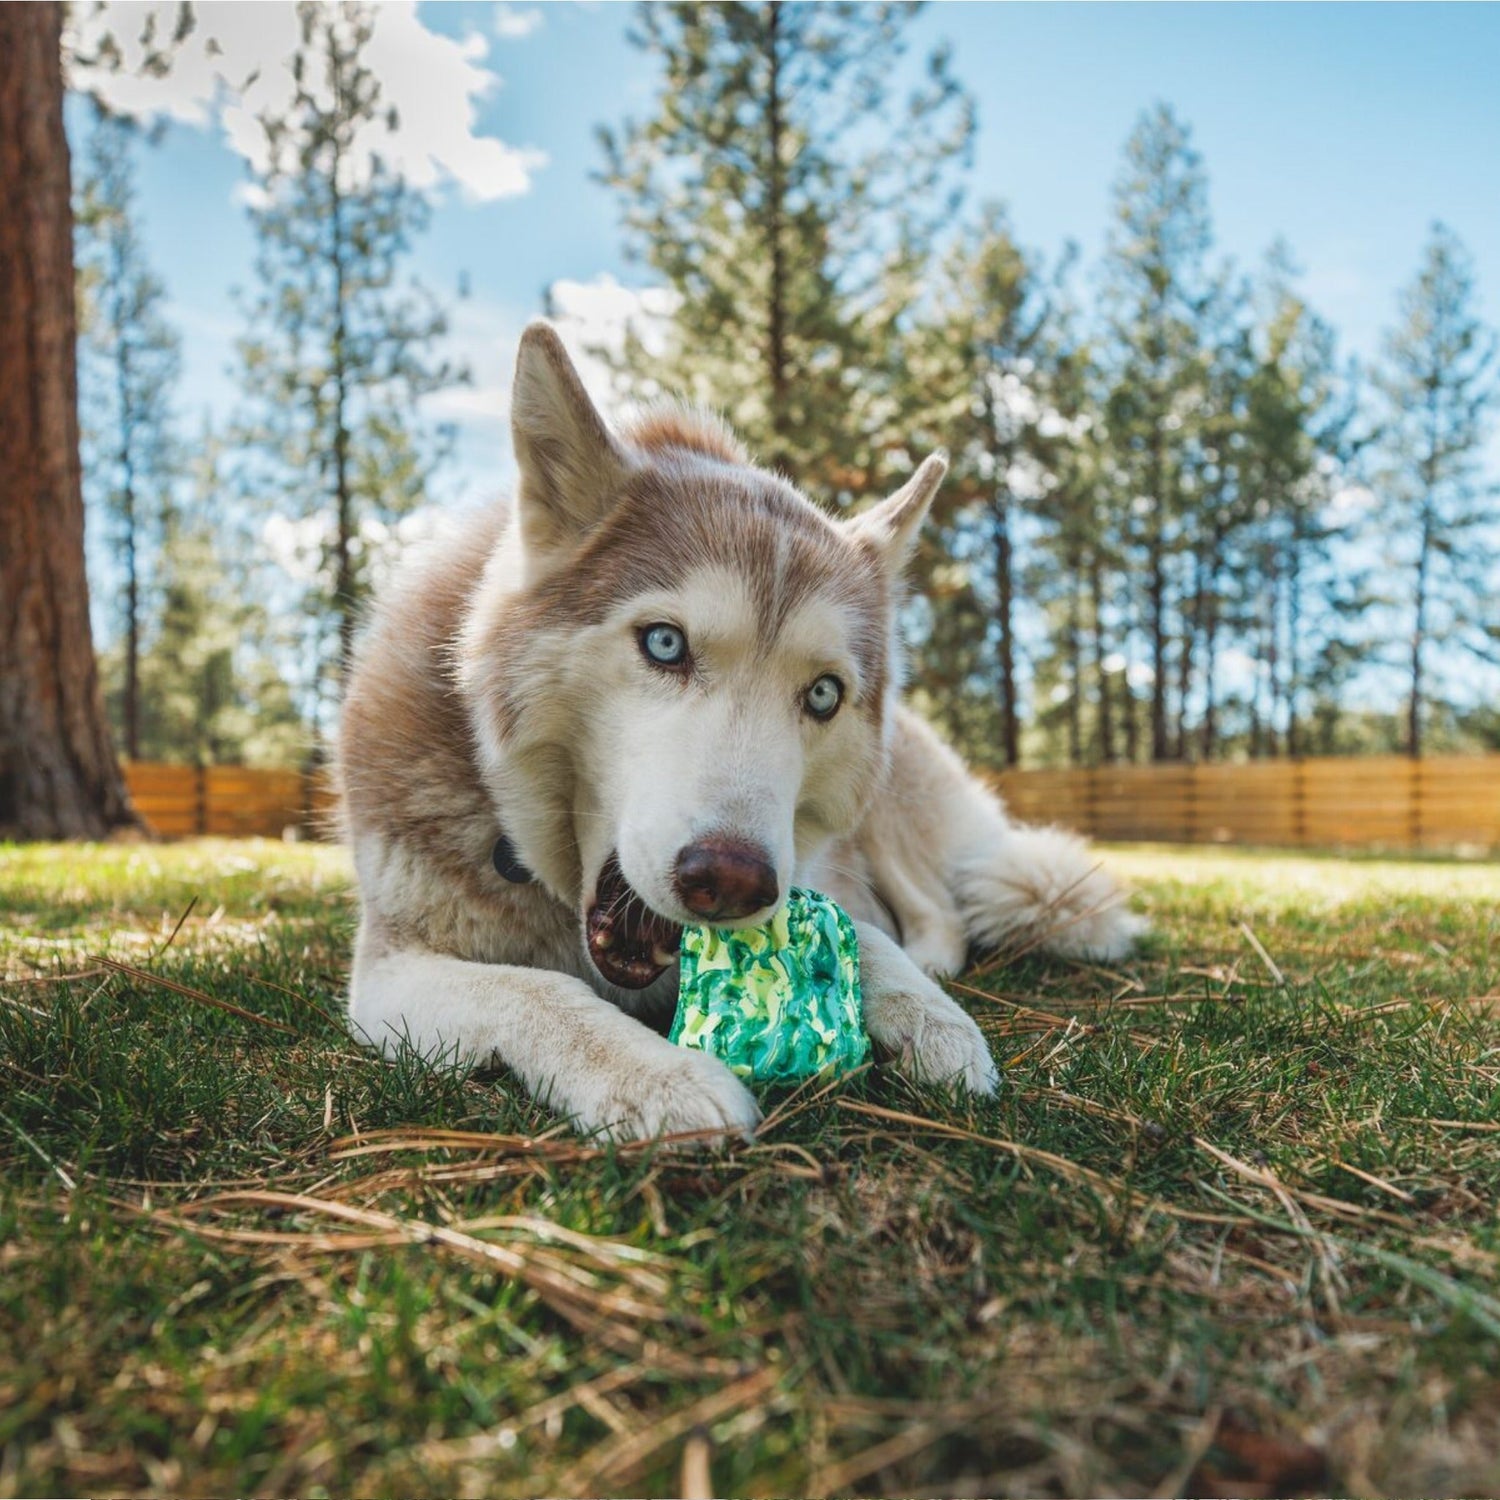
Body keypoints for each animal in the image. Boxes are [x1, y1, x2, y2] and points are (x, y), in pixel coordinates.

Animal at [337, 325, 1134, 1134]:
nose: (730, 881)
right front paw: (653, 1075)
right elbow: (536, 989)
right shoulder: (387, 973)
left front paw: (930, 1014)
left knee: (938, 907)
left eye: (823, 694)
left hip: (885, 818)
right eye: (665, 644)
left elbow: (867, 934)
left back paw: (937, 964)